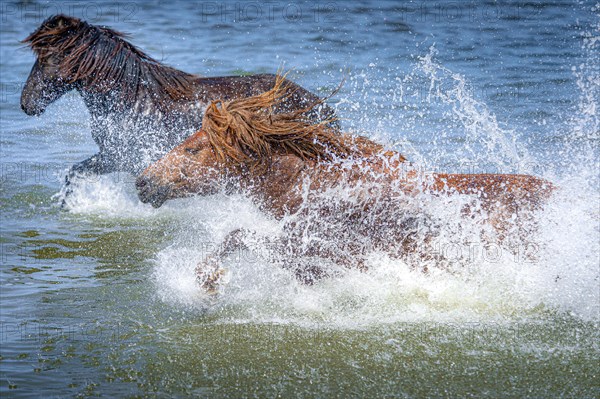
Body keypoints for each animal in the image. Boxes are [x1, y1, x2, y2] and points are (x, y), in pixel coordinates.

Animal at [136, 76, 552, 290]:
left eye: (193, 148)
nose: (142, 182)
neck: (315, 184)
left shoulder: (326, 249)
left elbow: (241, 237)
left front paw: (208, 278)